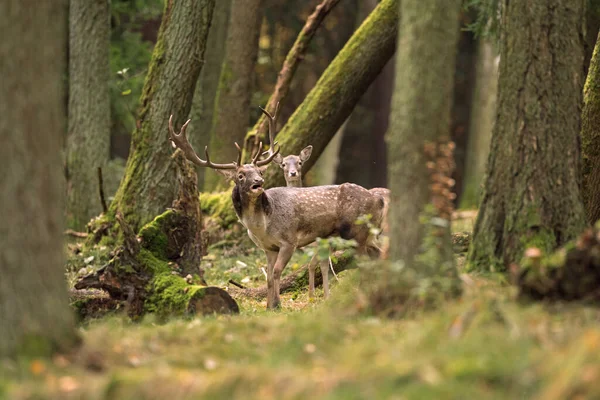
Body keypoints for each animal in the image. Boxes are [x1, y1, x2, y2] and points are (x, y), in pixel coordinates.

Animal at [169, 109, 384, 310]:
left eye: (259, 171)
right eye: (240, 175)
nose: (258, 182)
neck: (262, 225)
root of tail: (378, 199)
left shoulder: (289, 240)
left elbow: (277, 271)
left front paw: (277, 304)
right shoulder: (268, 248)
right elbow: (268, 275)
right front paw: (268, 306)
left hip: (357, 232)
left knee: (367, 262)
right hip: (366, 235)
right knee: (379, 254)